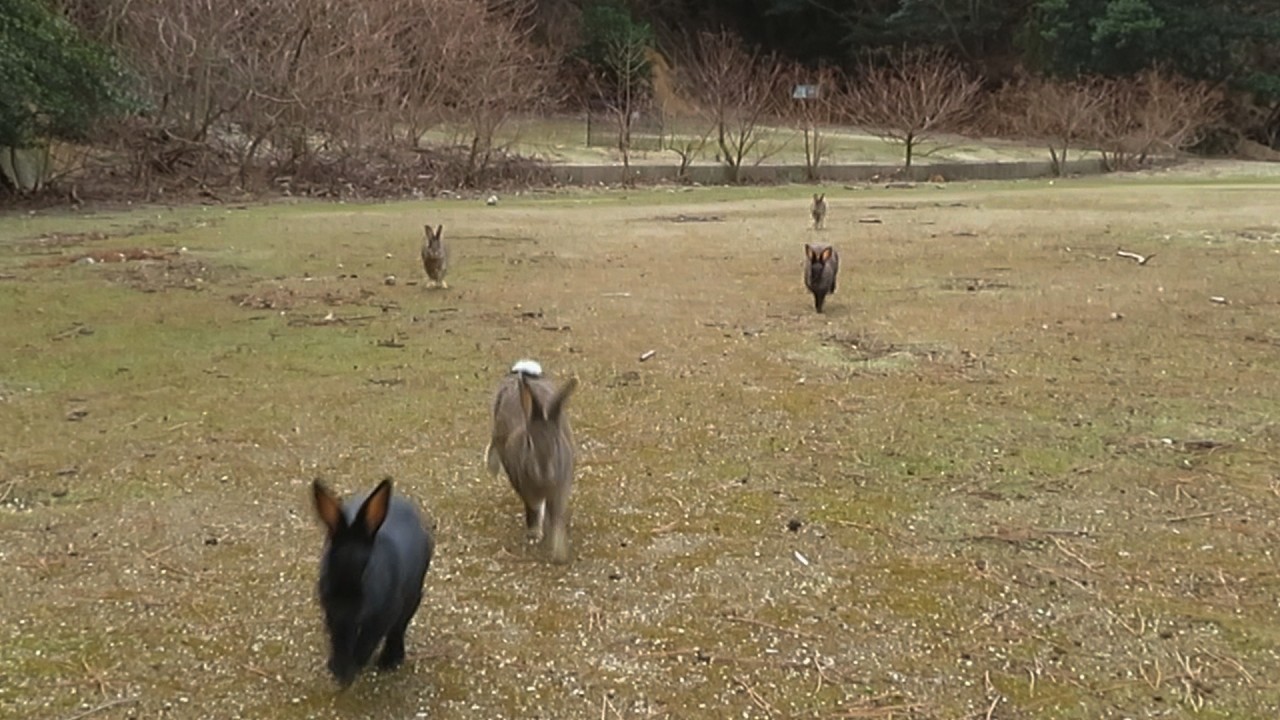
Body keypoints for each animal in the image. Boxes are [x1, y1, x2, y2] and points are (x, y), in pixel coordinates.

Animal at [311, 477, 434, 686]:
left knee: (399, 628)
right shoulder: (334, 618)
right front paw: (338, 668)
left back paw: (390, 660)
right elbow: (339, 639)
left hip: (414, 595)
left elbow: (369, 640)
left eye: (366, 573)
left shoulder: (384, 614)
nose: (344, 604)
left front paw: (351, 668)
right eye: (328, 567)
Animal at [483, 359, 578, 563]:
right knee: (493, 443)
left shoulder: (560, 490)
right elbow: (533, 510)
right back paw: (491, 466)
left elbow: (556, 517)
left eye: (557, 442)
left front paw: (559, 553)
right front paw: (534, 535)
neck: (543, 483)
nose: (544, 470)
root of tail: (523, 371)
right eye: (529, 442)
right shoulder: (526, 489)